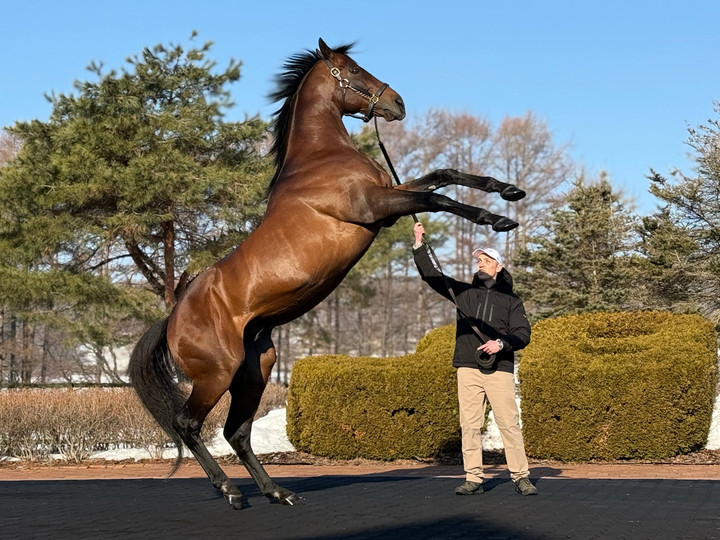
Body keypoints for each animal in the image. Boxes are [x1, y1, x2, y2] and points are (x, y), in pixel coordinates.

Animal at [128, 38, 526, 510]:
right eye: (351, 70)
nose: (397, 103)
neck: (321, 158)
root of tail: (173, 317)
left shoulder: (390, 196)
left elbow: (442, 174)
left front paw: (508, 191)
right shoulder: (376, 205)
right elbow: (438, 198)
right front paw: (496, 219)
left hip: (255, 370)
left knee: (236, 432)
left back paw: (278, 492)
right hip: (216, 375)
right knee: (188, 424)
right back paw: (231, 491)